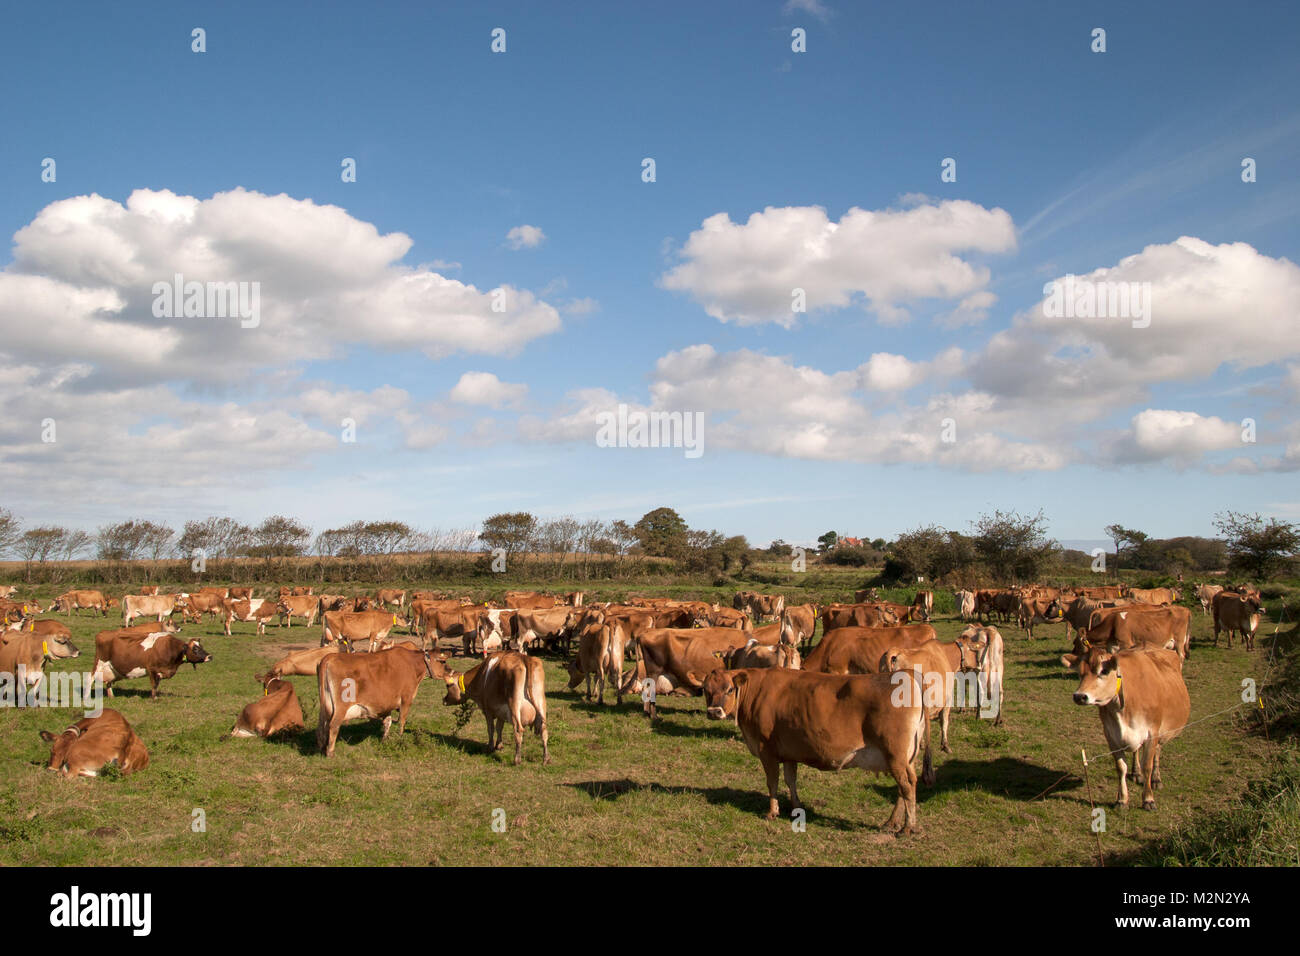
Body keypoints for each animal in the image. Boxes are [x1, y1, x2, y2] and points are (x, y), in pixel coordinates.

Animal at [316, 645, 450, 756]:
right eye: (443, 662)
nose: (451, 671)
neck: (413, 664)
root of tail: (330, 657)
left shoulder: (387, 704)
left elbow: (387, 722)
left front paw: (385, 739)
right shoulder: (406, 699)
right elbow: (401, 721)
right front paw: (399, 737)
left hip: (326, 706)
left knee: (323, 725)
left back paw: (322, 748)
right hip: (341, 707)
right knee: (333, 725)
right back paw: (330, 752)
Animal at [700, 667, 927, 834]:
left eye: (730, 689)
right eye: (705, 690)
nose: (714, 712)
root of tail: (906, 673)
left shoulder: (767, 750)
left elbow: (772, 782)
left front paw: (772, 812)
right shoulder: (788, 752)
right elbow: (790, 780)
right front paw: (796, 807)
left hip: (895, 755)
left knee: (906, 786)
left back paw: (908, 827)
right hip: (905, 759)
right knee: (906, 786)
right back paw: (891, 822)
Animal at [1063, 645, 1190, 810]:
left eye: (1104, 671)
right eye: (1079, 672)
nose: (1079, 696)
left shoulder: (1152, 733)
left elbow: (1148, 765)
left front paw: (1148, 799)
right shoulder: (1111, 735)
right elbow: (1121, 767)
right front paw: (1122, 800)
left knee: (1157, 752)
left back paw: (1156, 779)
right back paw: (1136, 773)